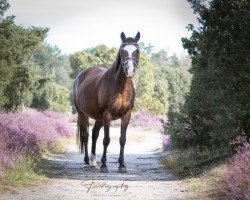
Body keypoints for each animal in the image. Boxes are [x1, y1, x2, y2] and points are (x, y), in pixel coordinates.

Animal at [73, 32, 141, 173]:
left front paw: (122, 165)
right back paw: (87, 163)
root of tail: (81, 75)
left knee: (94, 134)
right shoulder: (107, 114)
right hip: (83, 114)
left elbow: (122, 139)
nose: (129, 71)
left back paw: (94, 162)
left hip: (99, 118)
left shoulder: (126, 115)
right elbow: (106, 140)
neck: (120, 87)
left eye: (137, 50)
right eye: (122, 50)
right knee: (86, 135)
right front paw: (104, 165)